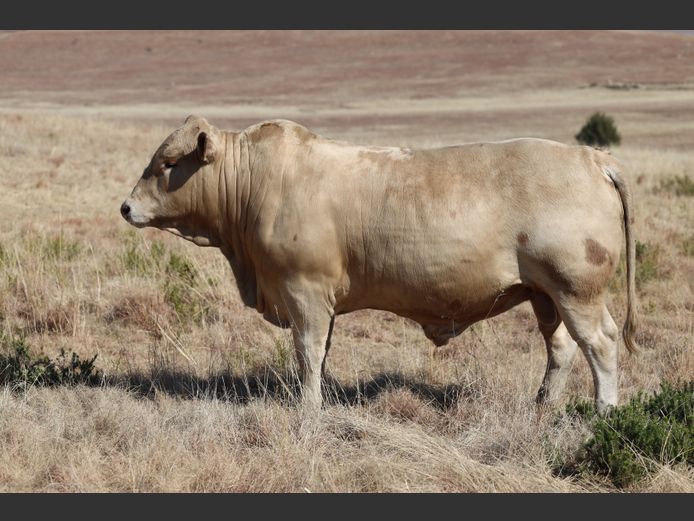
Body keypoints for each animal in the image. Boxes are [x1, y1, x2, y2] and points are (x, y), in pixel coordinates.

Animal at [121, 115, 638, 414]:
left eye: (168, 164)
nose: (126, 207)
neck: (257, 182)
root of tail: (592, 157)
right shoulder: (320, 300)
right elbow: (321, 353)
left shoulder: (304, 291)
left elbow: (307, 353)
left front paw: (308, 411)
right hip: (544, 295)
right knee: (561, 348)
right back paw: (542, 405)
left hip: (577, 290)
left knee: (600, 344)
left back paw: (605, 412)